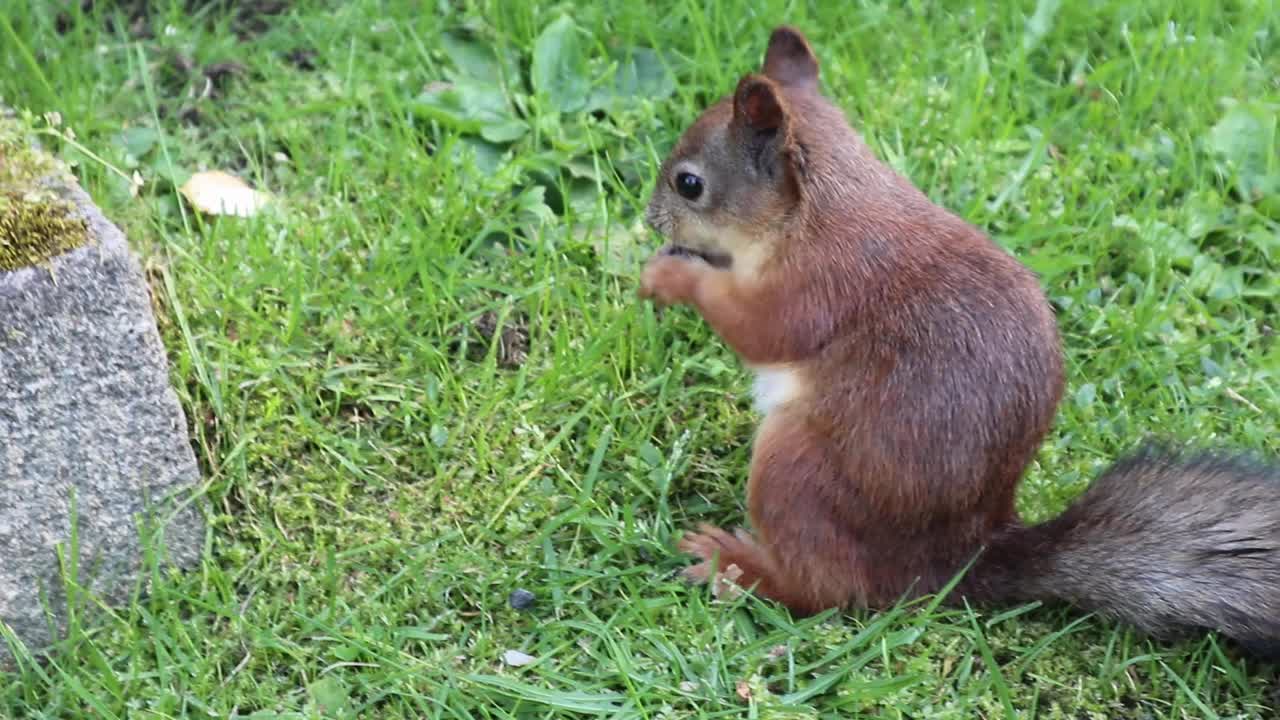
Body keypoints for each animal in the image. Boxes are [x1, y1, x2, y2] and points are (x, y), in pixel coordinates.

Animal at [640, 25, 1280, 653]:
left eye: (690, 184)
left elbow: (758, 327)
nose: (651, 219)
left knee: (822, 589)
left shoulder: (816, 286)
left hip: (797, 471)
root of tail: (951, 564)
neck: (817, 212)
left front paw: (668, 276)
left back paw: (736, 565)